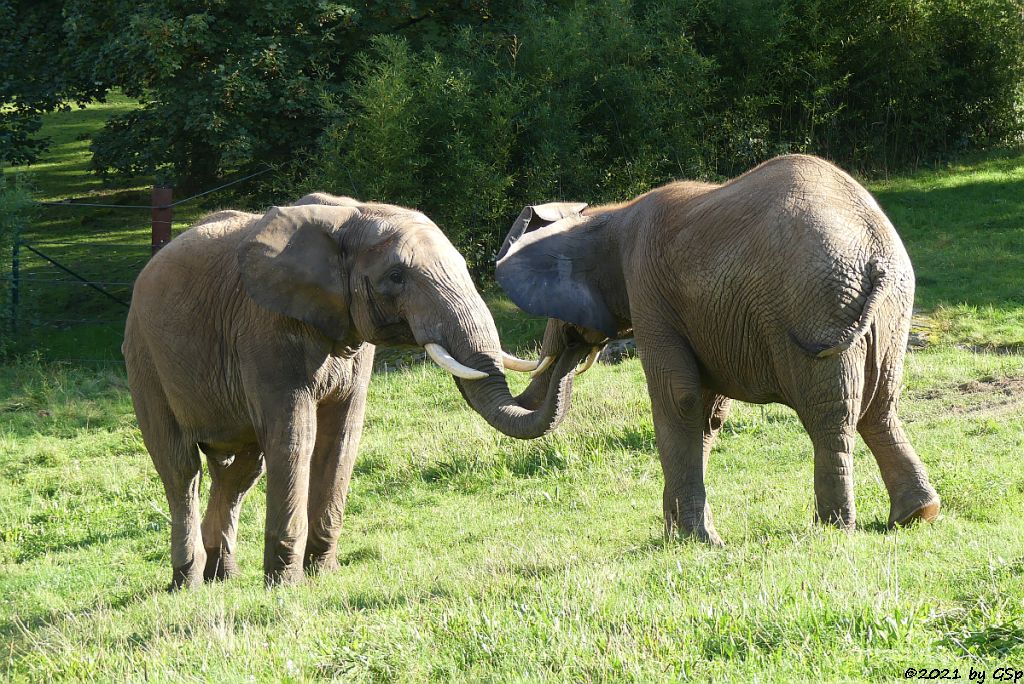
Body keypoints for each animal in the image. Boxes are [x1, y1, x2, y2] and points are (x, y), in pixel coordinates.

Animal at [120, 193, 581, 589]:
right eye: (395, 277)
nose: (573, 341)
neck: (350, 217)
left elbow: (340, 438)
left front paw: (322, 574)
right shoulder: (266, 329)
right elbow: (295, 438)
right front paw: (285, 586)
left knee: (240, 472)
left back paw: (222, 577)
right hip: (143, 356)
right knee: (182, 469)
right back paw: (188, 583)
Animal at [497, 153, 942, 544]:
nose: (572, 342)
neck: (611, 217)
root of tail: (875, 256)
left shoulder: (648, 291)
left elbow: (678, 398)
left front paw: (698, 540)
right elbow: (707, 413)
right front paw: (679, 535)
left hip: (819, 304)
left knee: (831, 416)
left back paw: (832, 530)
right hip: (890, 309)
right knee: (879, 406)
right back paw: (917, 514)